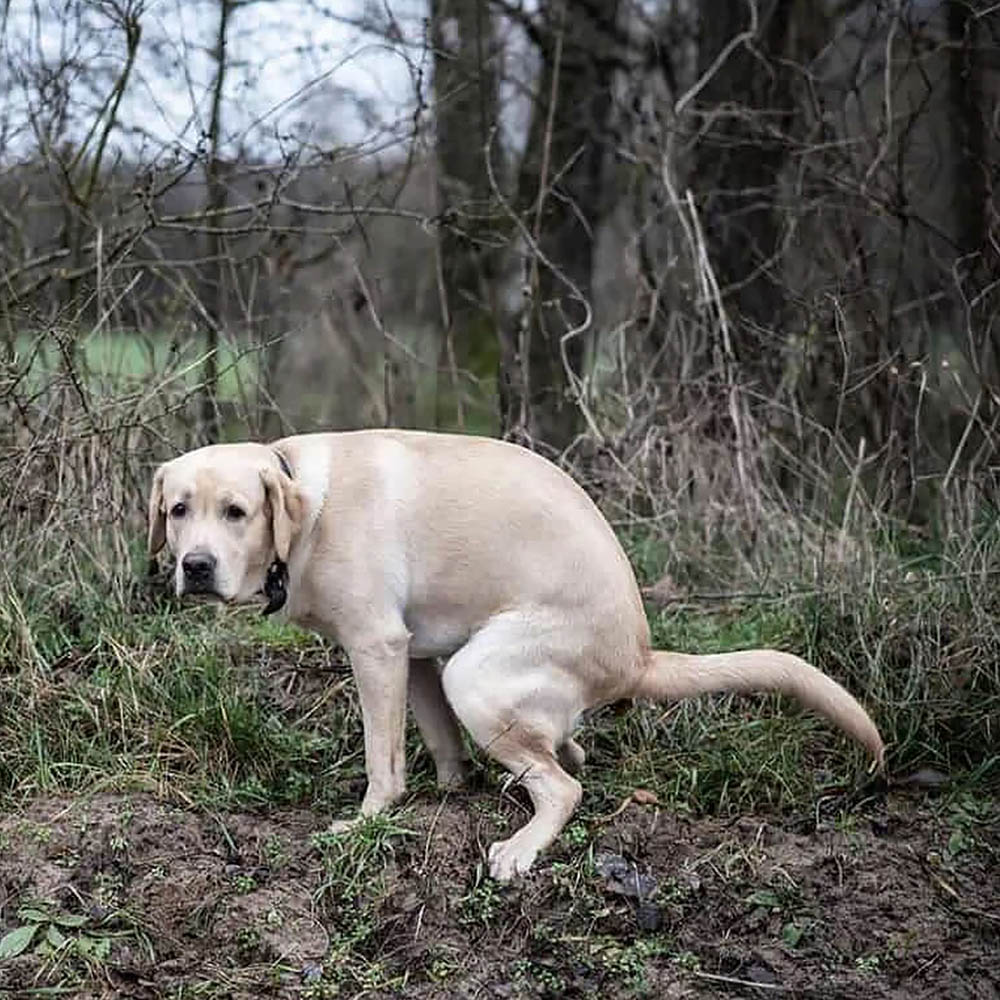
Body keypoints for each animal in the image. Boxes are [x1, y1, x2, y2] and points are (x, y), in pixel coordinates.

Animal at [148, 426, 884, 880]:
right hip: (471, 676)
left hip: (477, 675)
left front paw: (367, 822)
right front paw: (450, 792)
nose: (196, 567)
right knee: (565, 750)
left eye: (237, 511)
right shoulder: (414, 653)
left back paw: (521, 846)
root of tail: (640, 654)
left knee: (565, 787)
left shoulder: (377, 646)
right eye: (179, 510)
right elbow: (438, 741)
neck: (304, 516)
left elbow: (382, 758)